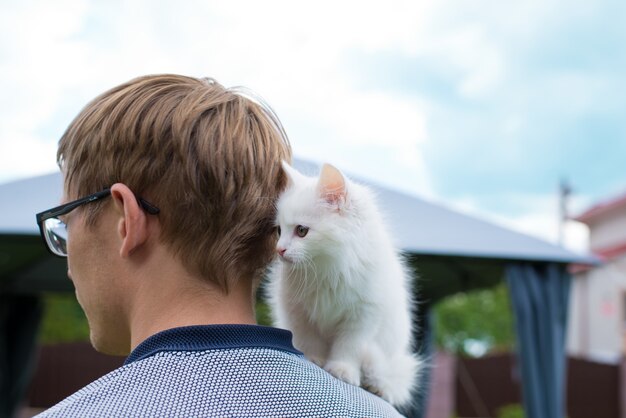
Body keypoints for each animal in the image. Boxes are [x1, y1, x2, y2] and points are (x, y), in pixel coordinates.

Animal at [266, 162, 420, 406]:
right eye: (280, 231)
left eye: (302, 231)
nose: (279, 249)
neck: (327, 267)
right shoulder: (297, 310)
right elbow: (309, 338)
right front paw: (314, 358)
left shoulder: (363, 315)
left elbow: (349, 346)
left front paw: (342, 370)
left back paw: (377, 387)